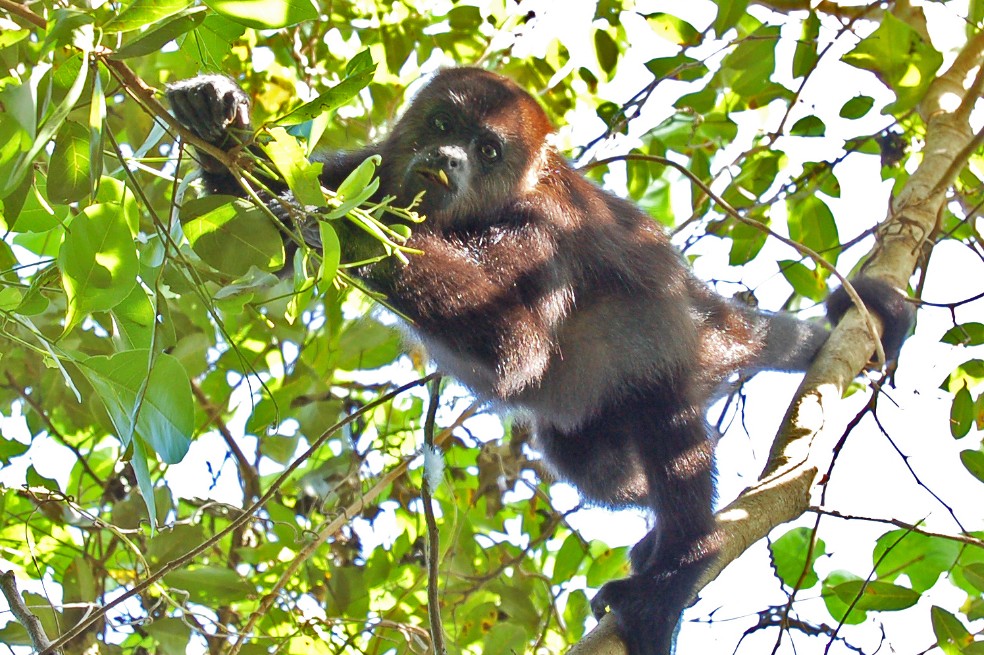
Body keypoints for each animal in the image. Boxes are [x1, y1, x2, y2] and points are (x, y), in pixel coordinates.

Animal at [167, 68, 914, 655]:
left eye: (487, 148)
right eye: (444, 122)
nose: (448, 157)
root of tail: (707, 311)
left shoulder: (542, 232)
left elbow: (515, 345)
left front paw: (357, 235)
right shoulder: (373, 170)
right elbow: (279, 189)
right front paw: (221, 114)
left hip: (673, 355)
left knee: (671, 436)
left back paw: (678, 567)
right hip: (596, 430)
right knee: (601, 469)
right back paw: (654, 539)